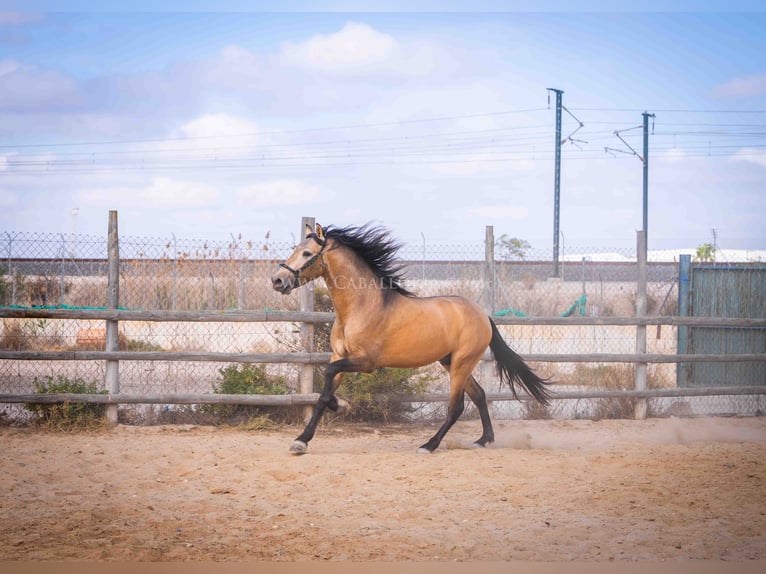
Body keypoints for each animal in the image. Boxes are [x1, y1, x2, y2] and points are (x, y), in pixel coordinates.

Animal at [272, 224, 552, 454]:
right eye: (295, 249)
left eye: (307, 254)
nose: (277, 280)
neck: (362, 305)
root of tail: (482, 314)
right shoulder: (340, 356)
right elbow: (323, 392)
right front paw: (303, 439)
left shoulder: (365, 362)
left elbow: (326, 381)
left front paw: (339, 407)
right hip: (451, 362)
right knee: (480, 395)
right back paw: (484, 440)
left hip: (462, 363)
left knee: (457, 406)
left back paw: (429, 445)